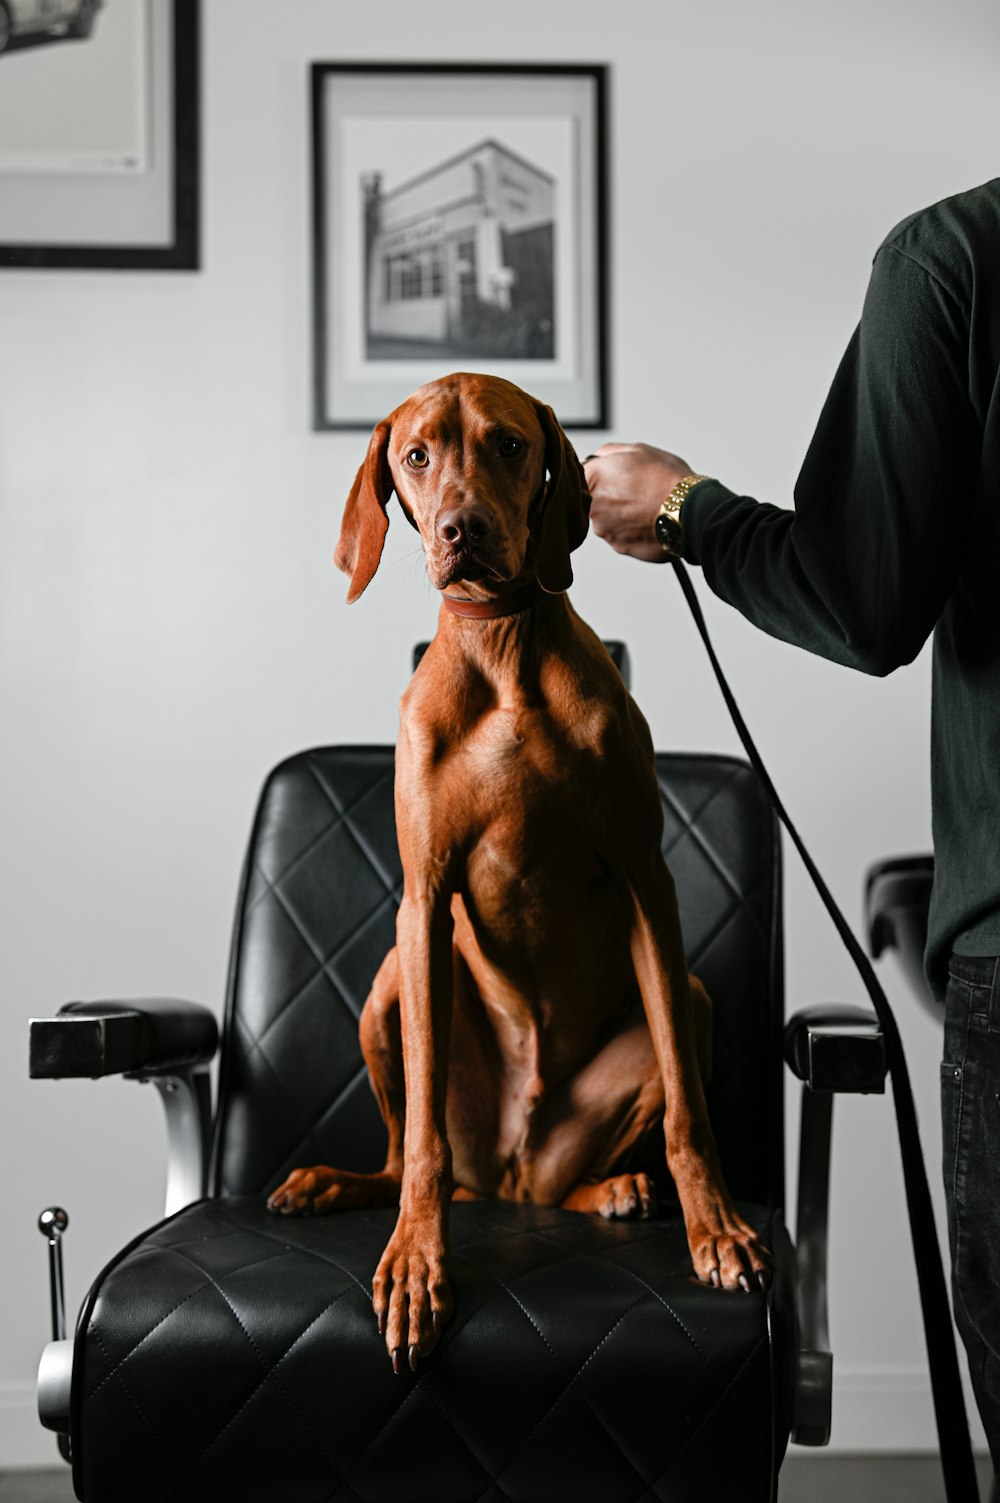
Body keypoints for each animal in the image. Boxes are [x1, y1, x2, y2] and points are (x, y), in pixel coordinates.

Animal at [267, 375, 769, 1376]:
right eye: (417, 455)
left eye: (507, 444)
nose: (460, 528)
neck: (501, 646)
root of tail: (509, 1167)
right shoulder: (423, 903)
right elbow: (422, 1142)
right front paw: (417, 1263)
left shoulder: (646, 881)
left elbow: (691, 1115)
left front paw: (717, 1230)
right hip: (389, 987)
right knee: (409, 1158)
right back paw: (336, 1182)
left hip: (679, 1012)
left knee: (569, 1172)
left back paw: (614, 1191)